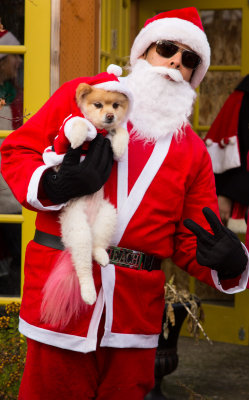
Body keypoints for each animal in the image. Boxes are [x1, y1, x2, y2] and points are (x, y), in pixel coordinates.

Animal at [40, 82, 130, 328]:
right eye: (98, 105)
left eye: (115, 105)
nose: (110, 116)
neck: (99, 132)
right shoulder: (64, 136)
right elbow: (78, 123)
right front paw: (79, 137)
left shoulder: (110, 134)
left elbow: (121, 132)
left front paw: (120, 145)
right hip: (78, 229)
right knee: (83, 266)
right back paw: (88, 292)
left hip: (107, 215)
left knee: (95, 246)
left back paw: (101, 255)